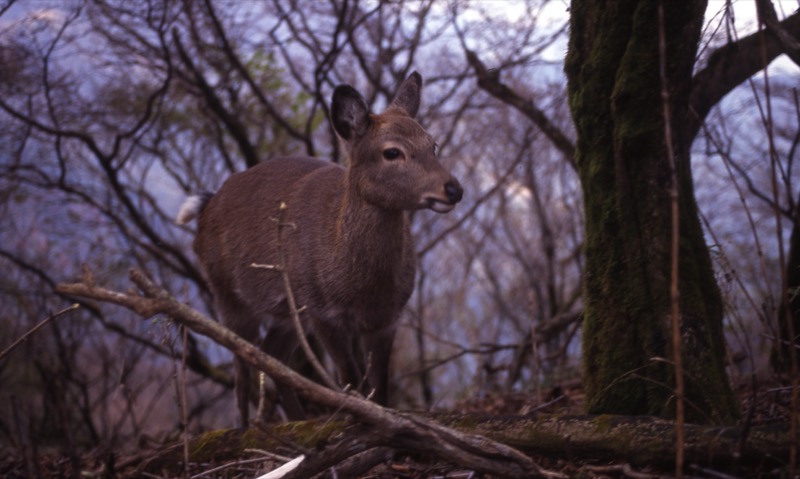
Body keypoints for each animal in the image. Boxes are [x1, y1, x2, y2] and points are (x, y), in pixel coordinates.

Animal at [175, 72, 462, 428]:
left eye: (431, 144)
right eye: (392, 152)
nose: (453, 188)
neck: (361, 285)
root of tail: (206, 207)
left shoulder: (387, 317)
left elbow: (380, 386)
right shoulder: (323, 311)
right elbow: (351, 380)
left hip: (288, 311)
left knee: (274, 355)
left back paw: (297, 423)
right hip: (228, 294)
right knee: (241, 361)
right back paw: (242, 428)